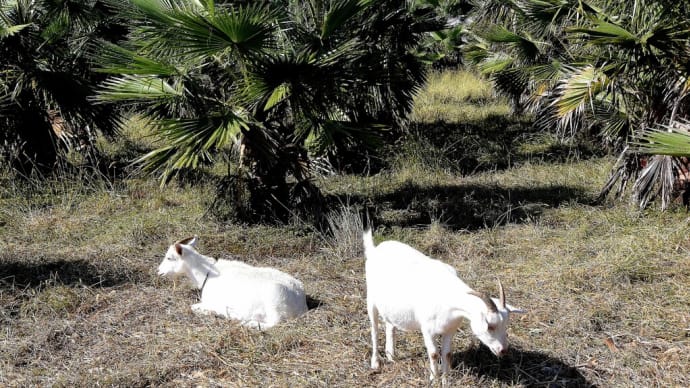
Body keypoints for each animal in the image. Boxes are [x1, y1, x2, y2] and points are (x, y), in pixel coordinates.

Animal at [157, 235, 308, 328]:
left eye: (169, 258)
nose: (158, 271)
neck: (207, 273)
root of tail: (301, 303)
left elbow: (193, 307)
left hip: (274, 300)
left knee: (275, 323)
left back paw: (248, 323)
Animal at [362, 229, 524, 380]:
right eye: (490, 326)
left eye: (505, 324)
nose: (503, 350)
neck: (447, 297)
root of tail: (375, 249)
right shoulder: (427, 330)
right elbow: (434, 354)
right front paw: (434, 378)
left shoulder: (449, 330)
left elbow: (447, 354)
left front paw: (446, 379)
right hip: (371, 300)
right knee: (374, 329)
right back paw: (375, 363)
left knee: (390, 325)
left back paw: (391, 355)